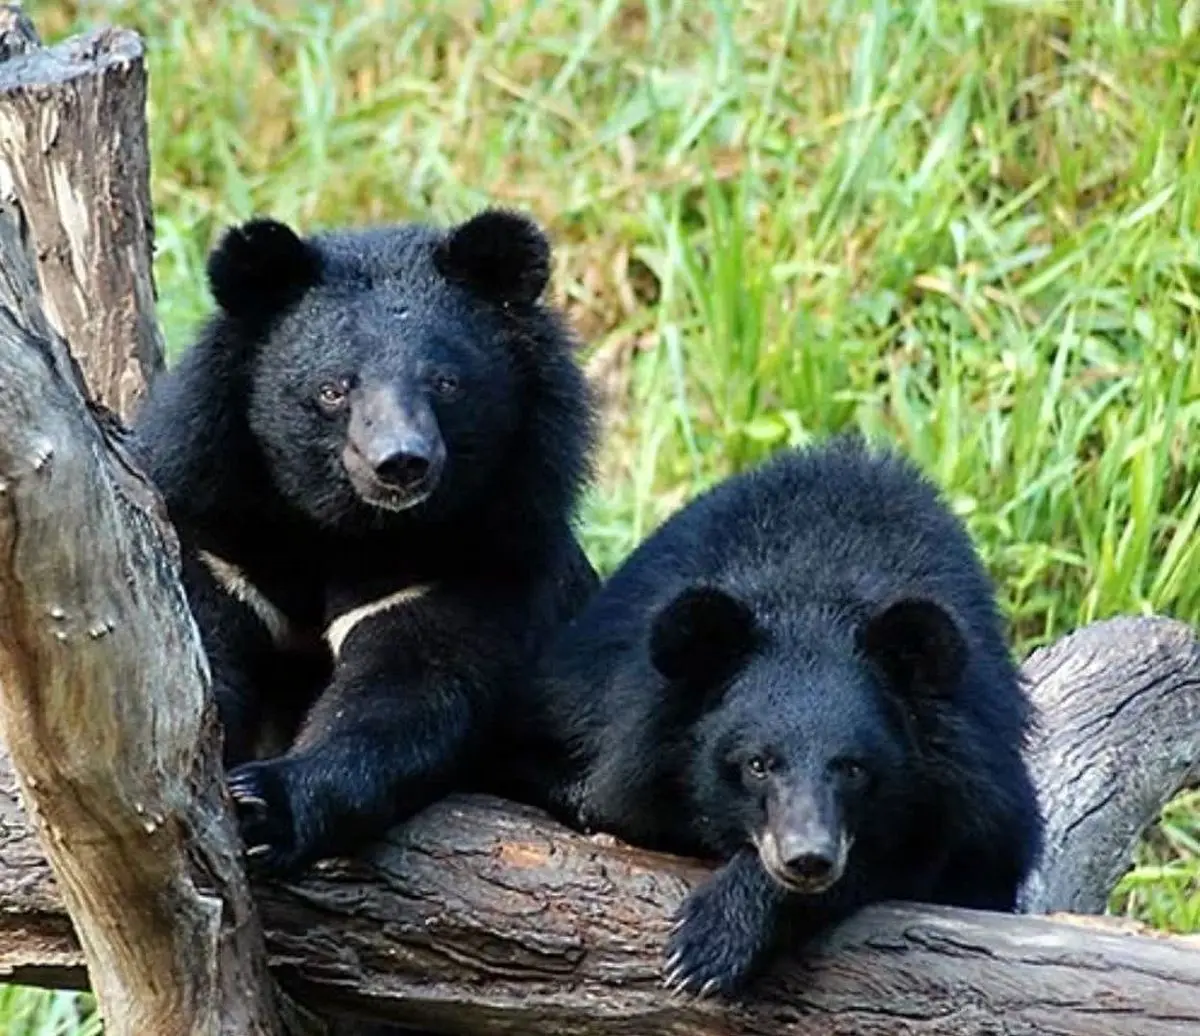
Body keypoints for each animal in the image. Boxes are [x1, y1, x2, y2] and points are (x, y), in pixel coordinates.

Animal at [136, 208, 600, 873]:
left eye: (446, 383)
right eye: (334, 389)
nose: (400, 463)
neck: (349, 530)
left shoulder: (478, 560)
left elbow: (408, 696)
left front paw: (265, 805)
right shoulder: (217, 539)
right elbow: (195, 670)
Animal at [506, 434, 1041, 998]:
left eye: (854, 768)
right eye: (757, 764)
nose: (807, 860)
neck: (813, 591)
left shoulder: (976, 777)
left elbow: (927, 855)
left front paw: (707, 943)